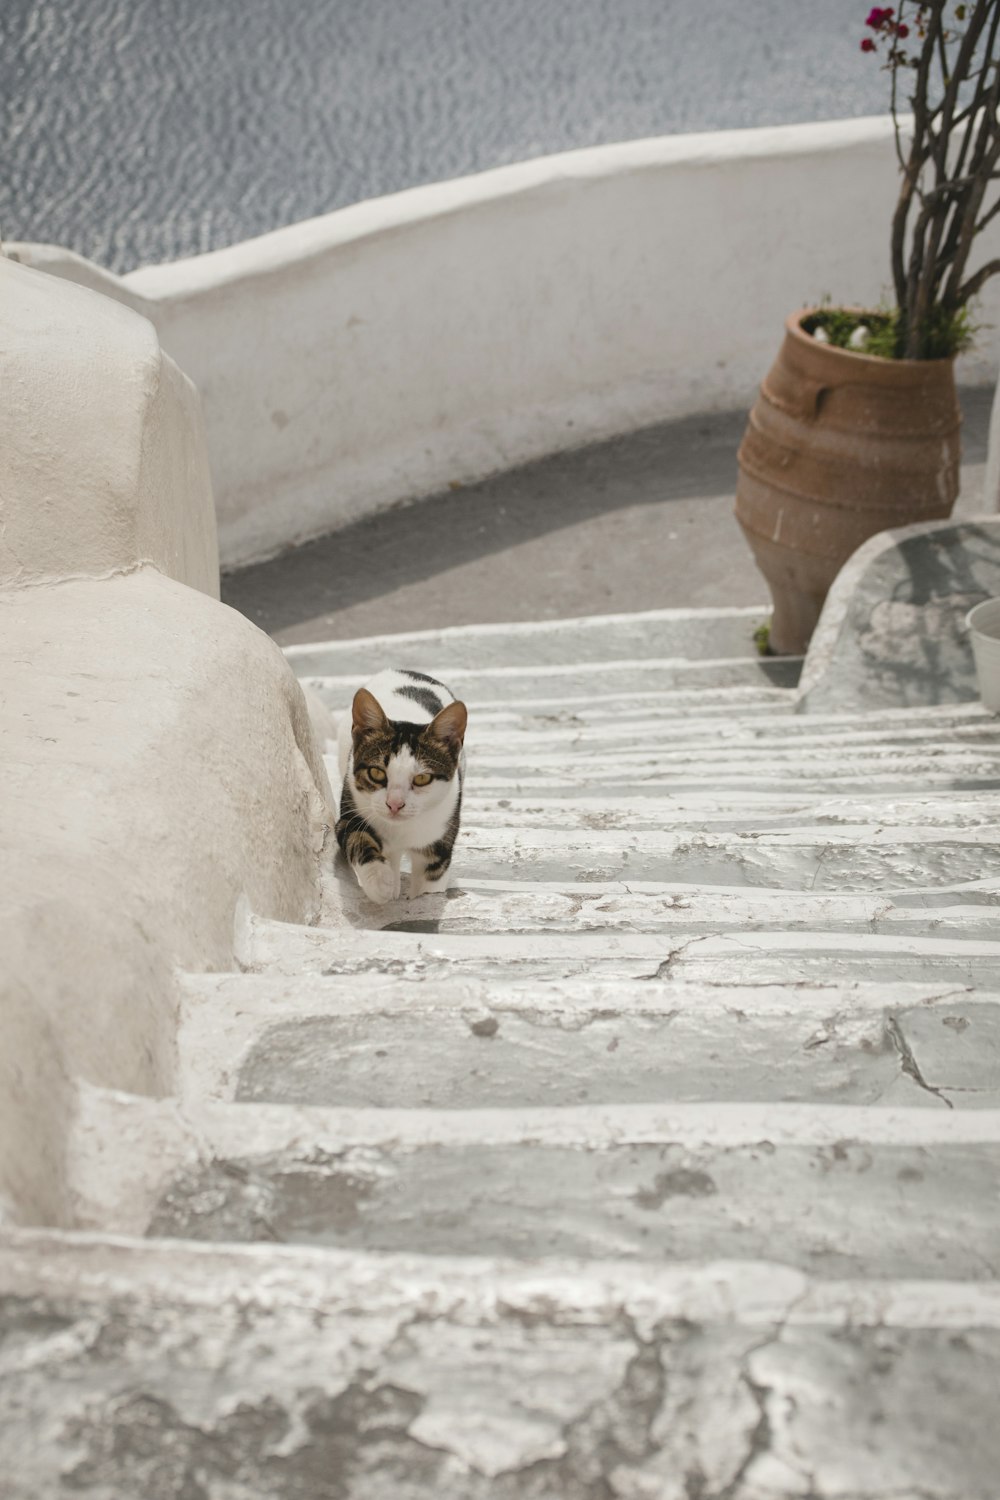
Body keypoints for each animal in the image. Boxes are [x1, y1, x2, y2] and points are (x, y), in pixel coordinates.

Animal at [335, 669, 470, 900]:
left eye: (422, 778)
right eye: (376, 773)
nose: (395, 804)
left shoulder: (440, 841)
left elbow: (430, 882)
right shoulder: (349, 813)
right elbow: (358, 837)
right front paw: (380, 882)